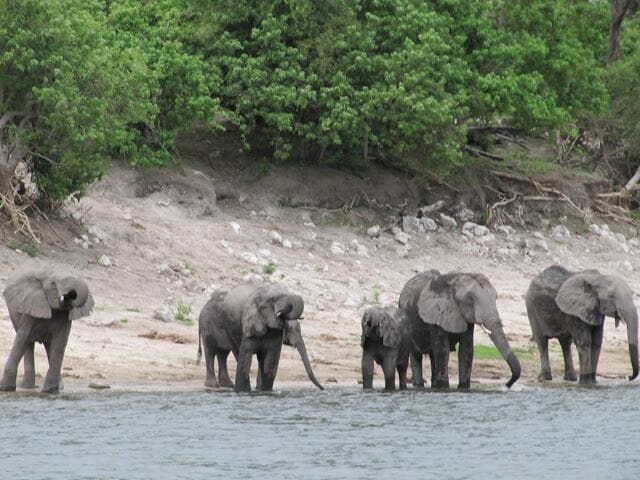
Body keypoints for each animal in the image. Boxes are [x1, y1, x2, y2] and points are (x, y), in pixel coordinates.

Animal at [0, 262, 94, 393]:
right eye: (53, 283)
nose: (71, 295)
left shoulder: (64, 317)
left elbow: (59, 344)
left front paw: (50, 391)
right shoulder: (31, 305)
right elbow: (22, 339)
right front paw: (5, 389)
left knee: (50, 346)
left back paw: (58, 387)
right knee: (28, 343)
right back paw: (26, 386)